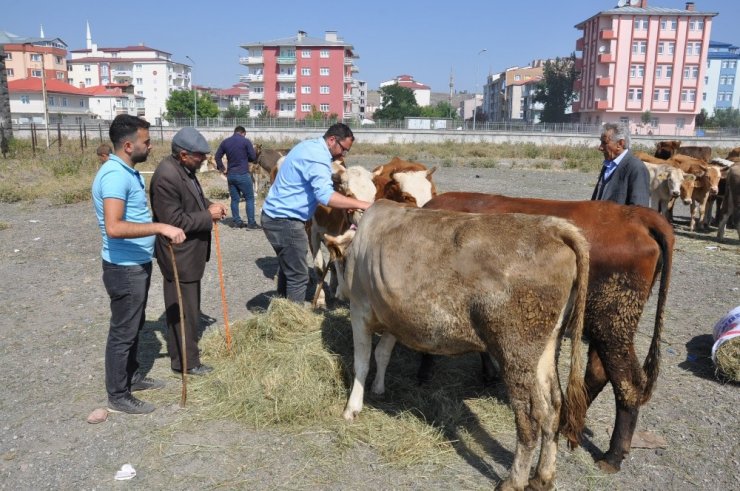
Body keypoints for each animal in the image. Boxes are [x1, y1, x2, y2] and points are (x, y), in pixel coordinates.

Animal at [326, 201, 588, 491]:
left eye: (334, 266)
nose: (335, 294)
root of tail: (553, 227)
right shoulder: (394, 316)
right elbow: (382, 355)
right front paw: (379, 388)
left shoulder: (360, 309)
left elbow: (361, 363)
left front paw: (352, 408)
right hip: (545, 348)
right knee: (553, 408)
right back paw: (543, 476)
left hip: (515, 349)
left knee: (530, 418)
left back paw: (514, 480)